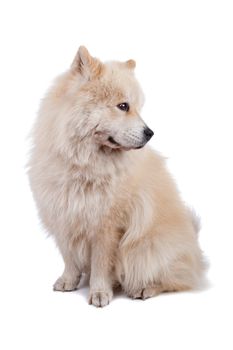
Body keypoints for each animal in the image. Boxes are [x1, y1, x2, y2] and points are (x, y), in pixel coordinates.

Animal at [27, 46, 206, 306]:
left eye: (137, 107)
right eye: (123, 106)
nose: (150, 133)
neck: (83, 163)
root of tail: (195, 247)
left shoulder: (106, 226)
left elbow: (102, 263)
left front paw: (99, 292)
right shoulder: (64, 215)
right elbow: (69, 256)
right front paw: (69, 280)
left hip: (147, 248)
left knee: (172, 278)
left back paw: (145, 288)